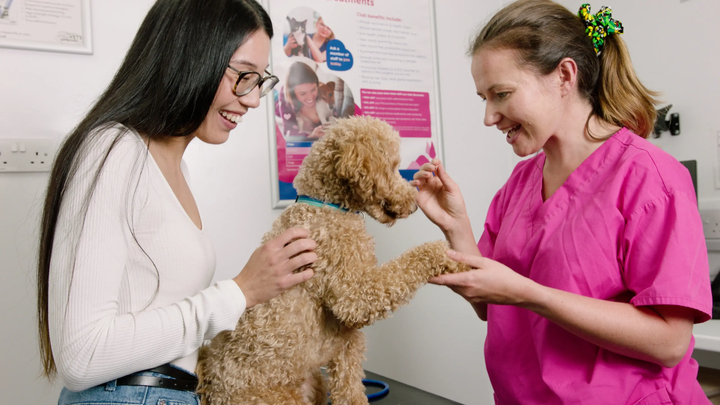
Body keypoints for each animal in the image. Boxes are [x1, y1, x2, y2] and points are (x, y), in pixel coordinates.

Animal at [195, 115, 466, 402]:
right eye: (393, 167)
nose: (414, 205)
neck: (326, 206)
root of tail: (211, 384)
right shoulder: (355, 295)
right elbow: (409, 263)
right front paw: (448, 254)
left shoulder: (346, 343)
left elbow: (350, 390)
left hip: (314, 382)